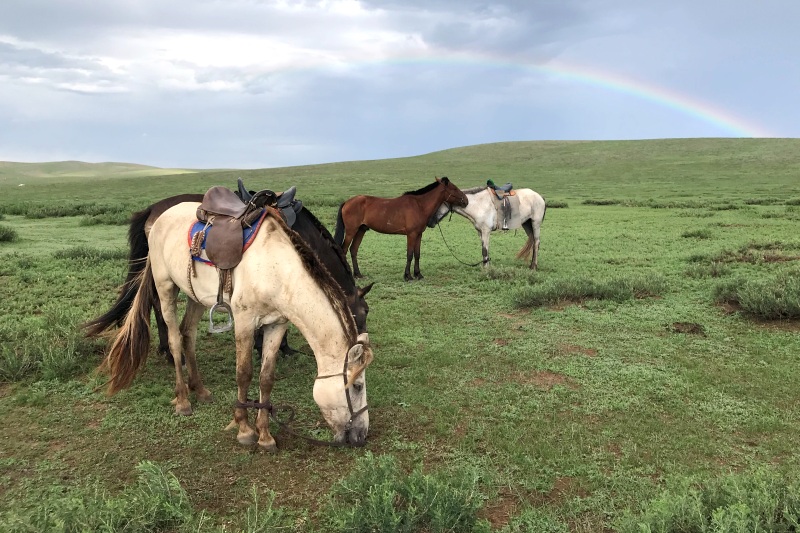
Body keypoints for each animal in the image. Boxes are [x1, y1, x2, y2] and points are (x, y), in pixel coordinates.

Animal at [99, 202, 372, 450]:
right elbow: (244, 374)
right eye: (357, 386)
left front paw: (265, 435)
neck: (277, 270)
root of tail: (159, 216)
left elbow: (266, 377)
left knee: (188, 335)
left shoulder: (277, 324)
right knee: (176, 340)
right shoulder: (244, 322)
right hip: (166, 287)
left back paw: (200, 390)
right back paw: (183, 400)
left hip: (196, 296)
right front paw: (244, 429)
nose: (362, 435)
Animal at [332, 177, 468, 280]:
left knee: (353, 250)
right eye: (454, 188)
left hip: (361, 230)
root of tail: (347, 202)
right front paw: (408, 276)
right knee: (344, 250)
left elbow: (417, 254)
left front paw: (418, 274)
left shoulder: (419, 234)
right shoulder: (411, 234)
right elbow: (409, 254)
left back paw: (358, 275)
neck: (419, 205)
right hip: (351, 231)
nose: (466, 201)